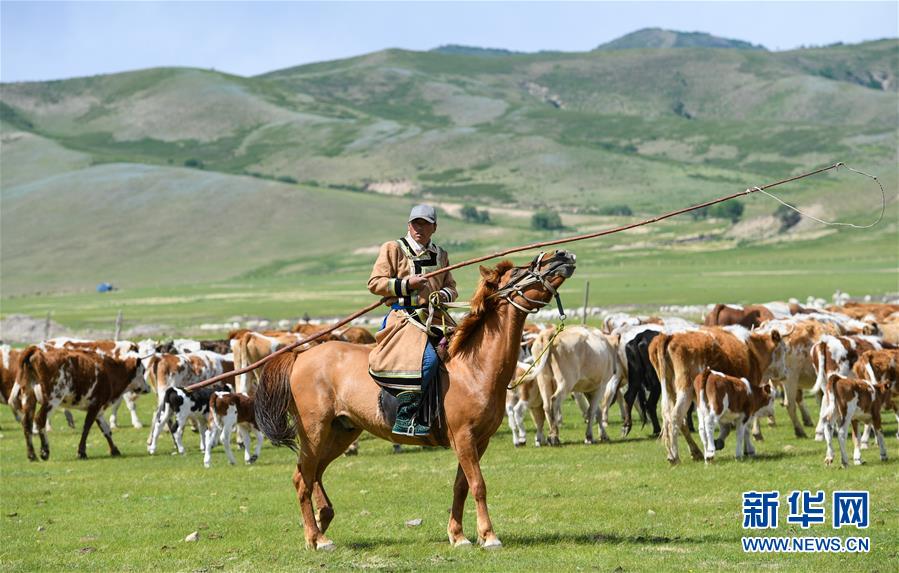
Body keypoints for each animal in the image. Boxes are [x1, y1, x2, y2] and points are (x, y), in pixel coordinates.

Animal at [11, 344, 146, 460]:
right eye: (143, 371)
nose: (147, 388)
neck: (111, 371)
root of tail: (37, 352)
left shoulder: (98, 409)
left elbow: (106, 430)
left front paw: (114, 450)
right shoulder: (95, 405)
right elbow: (86, 428)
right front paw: (81, 452)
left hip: (29, 398)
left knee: (26, 422)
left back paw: (31, 455)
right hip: (52, 399)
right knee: (40, 419)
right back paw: (45, 451)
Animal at [253, 250, 576, 548]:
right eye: (520, 271)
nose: (561, 254)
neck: (474, 368)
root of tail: (300, 355)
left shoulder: (478, 441)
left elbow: (461, 486)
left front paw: (458, 535)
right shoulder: (464, 438)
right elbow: (478, 485)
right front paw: (489, 536)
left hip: (340, 432)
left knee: (313, 473)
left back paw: (322, 520)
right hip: (315, 431)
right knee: (302, 479)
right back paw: (317, 537)